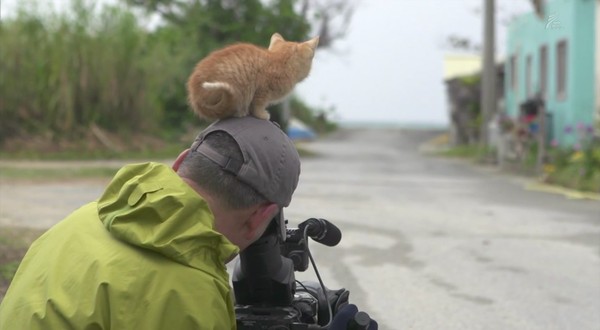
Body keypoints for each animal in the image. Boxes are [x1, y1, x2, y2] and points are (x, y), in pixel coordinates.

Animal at [186, 32, 318, 120]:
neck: (279, 61)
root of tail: (195, 98)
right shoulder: (262, 90)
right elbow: (258, 105)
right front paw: (262, 115)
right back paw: (240, 112)